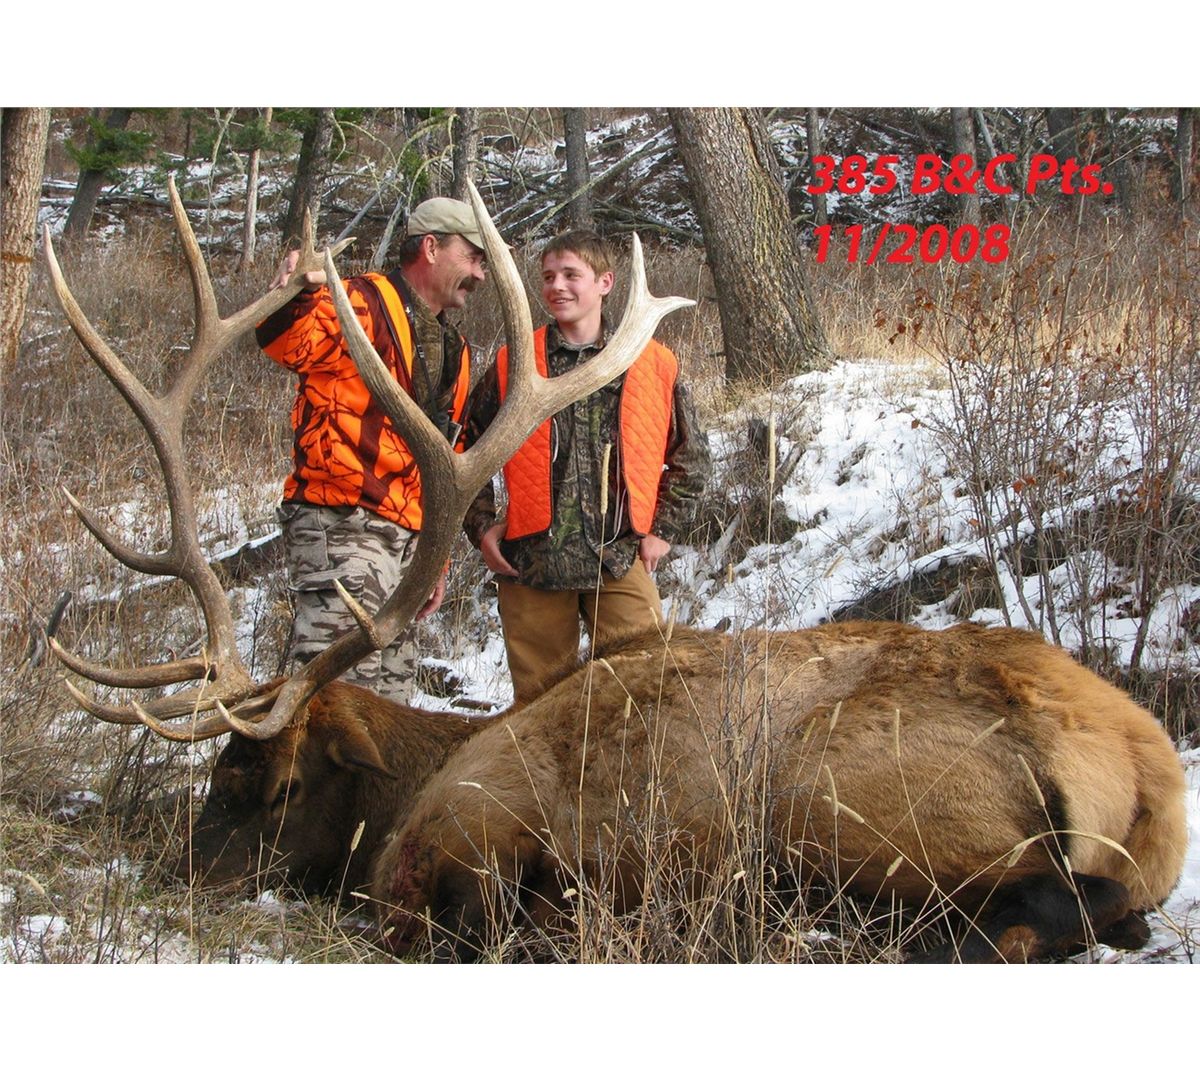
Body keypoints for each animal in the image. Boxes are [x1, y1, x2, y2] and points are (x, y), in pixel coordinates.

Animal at [45, 178, 1188, 962]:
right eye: (213, 776)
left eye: (275, 785)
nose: (172, 873)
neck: (417, 777)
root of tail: (1144, 778)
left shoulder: (463, 836)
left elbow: (457, 919)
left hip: (857, 805)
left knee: (1028, 909)